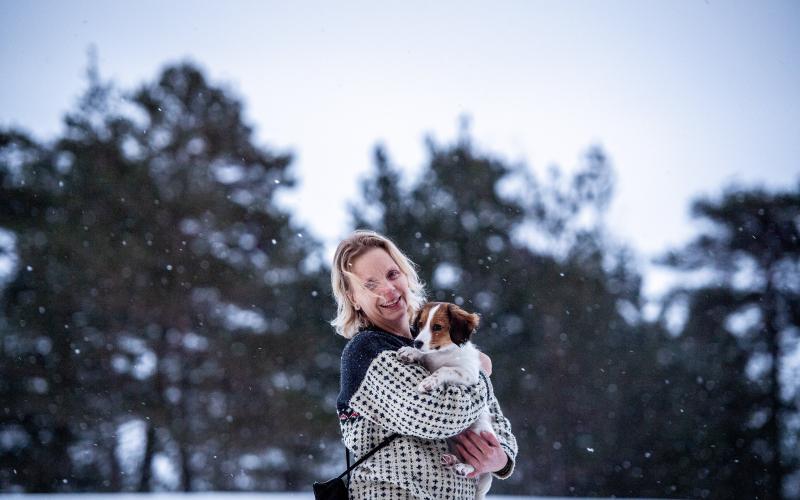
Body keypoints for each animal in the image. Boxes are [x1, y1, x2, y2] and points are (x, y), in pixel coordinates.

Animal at [396, 300, 496, 500]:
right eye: (420, 325)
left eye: (437, 327)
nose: (417, 342)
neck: (443, 353)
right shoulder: (430, 359)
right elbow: (425, 355)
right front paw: (410, 352)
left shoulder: (469, 375)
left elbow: (445, 369)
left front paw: (428, 382)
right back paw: (451, 460)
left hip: (480, 430)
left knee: (477, 467)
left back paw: (464, 467)